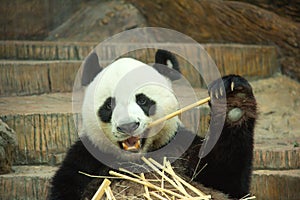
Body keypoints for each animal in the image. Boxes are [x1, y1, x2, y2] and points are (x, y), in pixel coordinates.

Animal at [48, 49, 256, 199]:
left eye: (142, 100)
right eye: (109, 105)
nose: (128, 126)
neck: (137, 159)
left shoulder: (181, 149)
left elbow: (226, 178)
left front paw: (234, 100)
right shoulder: (86, 161)